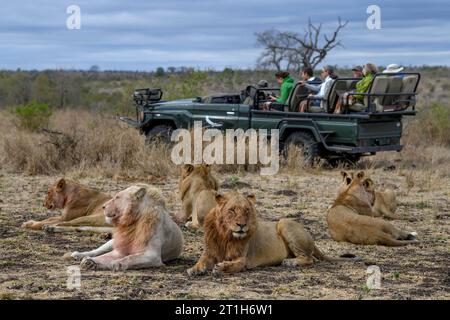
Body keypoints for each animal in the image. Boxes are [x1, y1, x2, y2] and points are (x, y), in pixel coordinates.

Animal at [186, 190, 358, 276]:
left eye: (247, 210)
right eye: (232, 210)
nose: (242, 225)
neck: (226, 235)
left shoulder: (243, 259)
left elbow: (234, 265)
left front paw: (221, 268)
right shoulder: (209, 252)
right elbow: (201, 261)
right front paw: (194, 269)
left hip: (284, 223)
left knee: (309, 259)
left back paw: (290, 262)